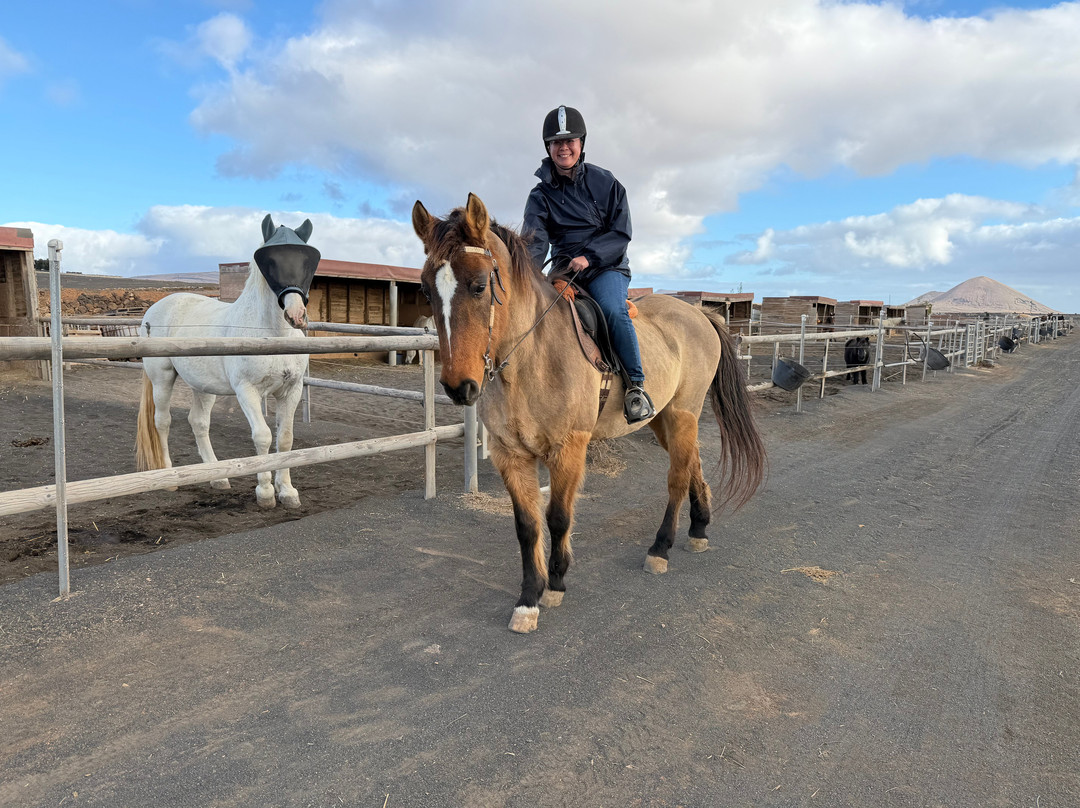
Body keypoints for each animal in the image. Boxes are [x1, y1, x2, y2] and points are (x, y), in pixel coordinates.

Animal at [135, 214, 320, 509]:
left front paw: (288, 491)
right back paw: (170, 477)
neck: (270, 333)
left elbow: (285, 439)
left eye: (307, 260)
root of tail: (154, 309)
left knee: (198, 422)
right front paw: (265, 492)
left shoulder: (291, 390)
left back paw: (217, 477)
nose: (296, 314)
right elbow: (263, 436)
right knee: (162, 421)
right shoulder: (247, 391)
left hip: (203, 387)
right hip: (162, 379)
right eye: (271, 261)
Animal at [412, 194, 767, 633]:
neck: (532, 357)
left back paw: (660, 548)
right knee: (693, 464)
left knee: (677, 479)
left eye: (479, 286)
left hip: (684, 412)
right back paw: (699, 528)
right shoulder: (510, 454)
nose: (458, 387)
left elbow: (558, 517)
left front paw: (556, 584)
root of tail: (699, 313)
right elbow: (527, 526)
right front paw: (528, 599)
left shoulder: (569, 448)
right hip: (665, 420)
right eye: (427, 290)